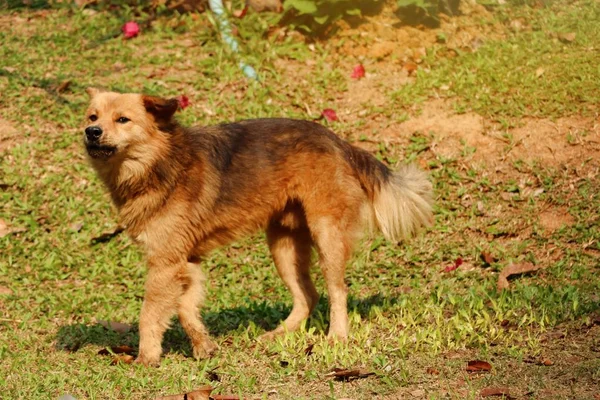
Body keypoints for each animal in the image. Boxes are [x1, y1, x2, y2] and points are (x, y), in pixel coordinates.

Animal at [82, 88, 434, 366]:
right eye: (92, 116)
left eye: (123, 120)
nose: (92, 132)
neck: (159, 163)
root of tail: (339, 142)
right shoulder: (185, 262)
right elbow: (185, 310)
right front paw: (203, 347)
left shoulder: (164, 263)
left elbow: (149, 315)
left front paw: (146, 358)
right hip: (283, 245)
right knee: (308, 295)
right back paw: (279, 334)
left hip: (326, 236)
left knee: (337, 291)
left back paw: (336, 336)